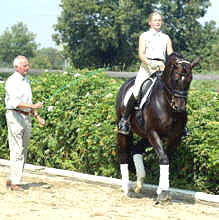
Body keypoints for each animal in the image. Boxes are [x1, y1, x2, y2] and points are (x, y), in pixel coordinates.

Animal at [116, 52, 200, 202]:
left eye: (190, 79)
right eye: (176, 78)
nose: (179, 106)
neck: (167, 104)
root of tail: (127, 83)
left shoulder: (175, 136)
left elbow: (166, 158)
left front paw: (162, 190)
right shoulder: (153, 132)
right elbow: (164, 158)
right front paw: (163, 193)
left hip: (146, 135)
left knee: (136, 150)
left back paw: (139, 183)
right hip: (126, 129)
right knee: (123, 153)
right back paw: (126, 188)